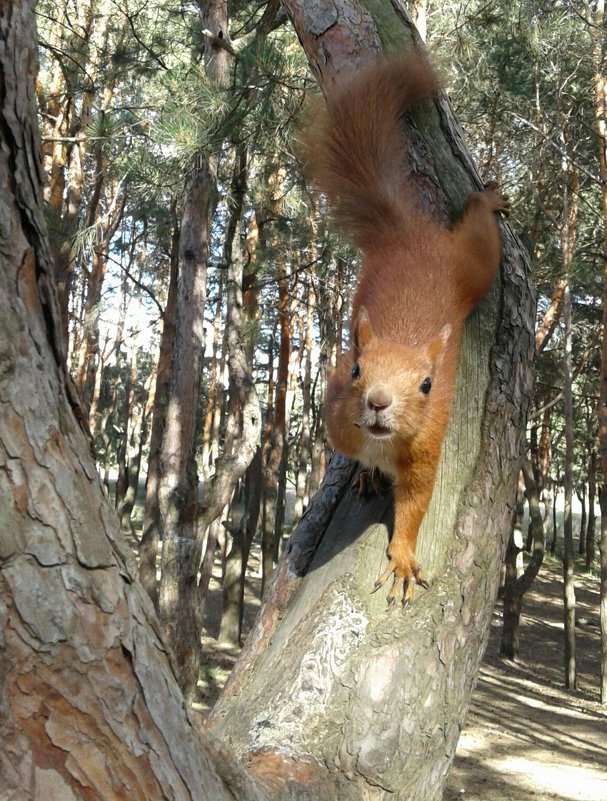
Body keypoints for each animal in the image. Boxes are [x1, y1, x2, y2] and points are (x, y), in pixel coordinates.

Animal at [306, 53, 510, 604]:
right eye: (355, 370)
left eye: (427, 384)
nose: (378, 402)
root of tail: (408, 234)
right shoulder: (336, 421)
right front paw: (363, 474)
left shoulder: (425, 450)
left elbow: (416, 507)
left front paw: (401, 560)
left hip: (475, 266)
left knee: (481, 237)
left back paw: (486, 202)